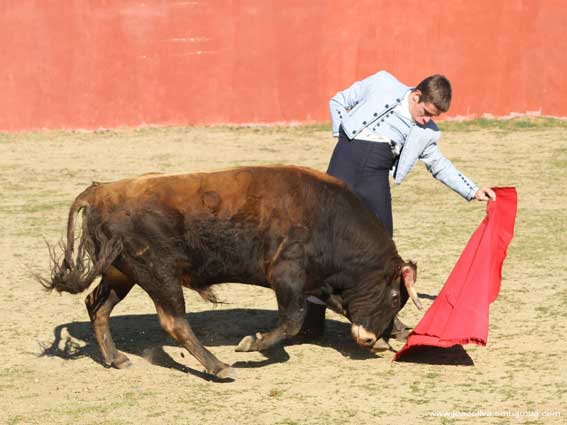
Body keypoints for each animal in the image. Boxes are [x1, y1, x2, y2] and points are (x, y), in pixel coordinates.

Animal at [41, 166, 422, 378]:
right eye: (393, 296)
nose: (369, 338)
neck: (327, 219)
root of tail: (102, 190)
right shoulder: (286, 275)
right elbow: (292, 320)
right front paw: (251, 344)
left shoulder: (317, 282)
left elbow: (334, 306)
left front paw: (397, 332)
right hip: (158, 273)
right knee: (174, 322)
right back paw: (219, 367)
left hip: (122, 273)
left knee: (97, 306)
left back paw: (115, 358)